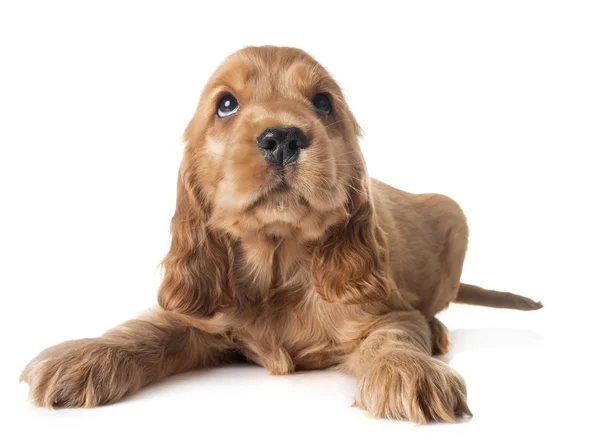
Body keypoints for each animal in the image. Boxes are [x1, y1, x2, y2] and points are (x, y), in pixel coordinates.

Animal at [19, 46, 544, 424]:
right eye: (226, 104)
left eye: (323, 102)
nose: (283, 138)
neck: (277, 263)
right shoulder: (203, 319)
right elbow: (146, 328)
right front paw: (84, 356)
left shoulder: (385, 310)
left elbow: (393, 335)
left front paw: (411, 372)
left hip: (454, 218)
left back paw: (435, 332)